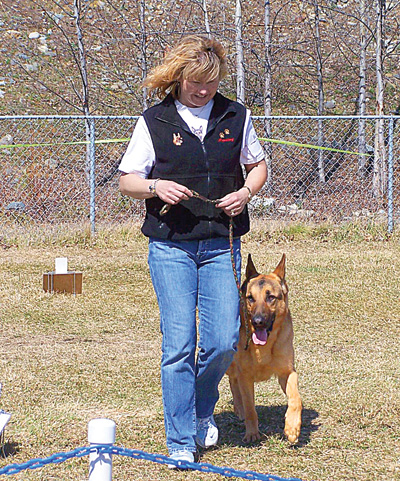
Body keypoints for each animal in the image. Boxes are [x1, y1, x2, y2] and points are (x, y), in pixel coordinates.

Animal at [227, 253, 302, 444]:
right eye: (250, 298)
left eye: (271, 297)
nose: (257, 322)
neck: (265, 347)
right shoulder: (245, 377)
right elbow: (250, 408)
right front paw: (252, 433)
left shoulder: (287, 373)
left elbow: (296, 399)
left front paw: (292, 427)